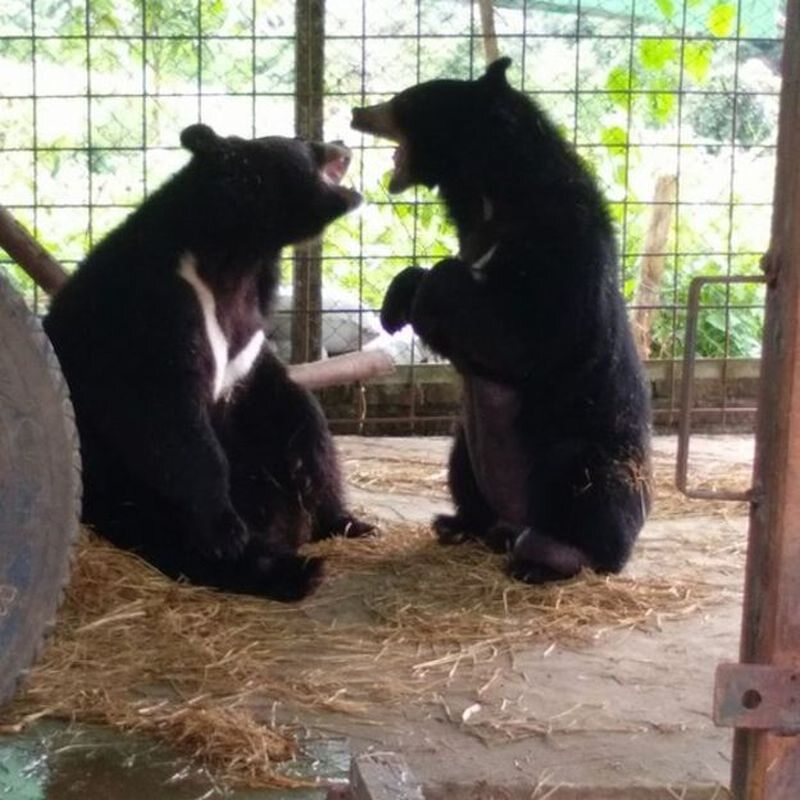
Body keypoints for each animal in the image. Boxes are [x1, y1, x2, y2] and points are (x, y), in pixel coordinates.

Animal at [48, 125, 374, 600]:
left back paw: (348, 523)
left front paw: (315, 471)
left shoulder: (247, 335)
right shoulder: (155, 312)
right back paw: (293, 569)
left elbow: (281, 393)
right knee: (169, 532)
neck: (233, 258)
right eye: (301, 142)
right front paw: (225, 532)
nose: (343, 142)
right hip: (116, 484)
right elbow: (165, 418)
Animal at [354, 56, 652, 580]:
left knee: (589, 491)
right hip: (465, 447)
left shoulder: (563, 255)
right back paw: (459, 524)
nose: (356, 111)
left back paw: (550, 553)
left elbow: (524, 337)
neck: (492, 196)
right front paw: (396, 302)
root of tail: (513, 521)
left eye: (405, 99)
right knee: (464, 472)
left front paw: (433, 284)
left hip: (589, 453)